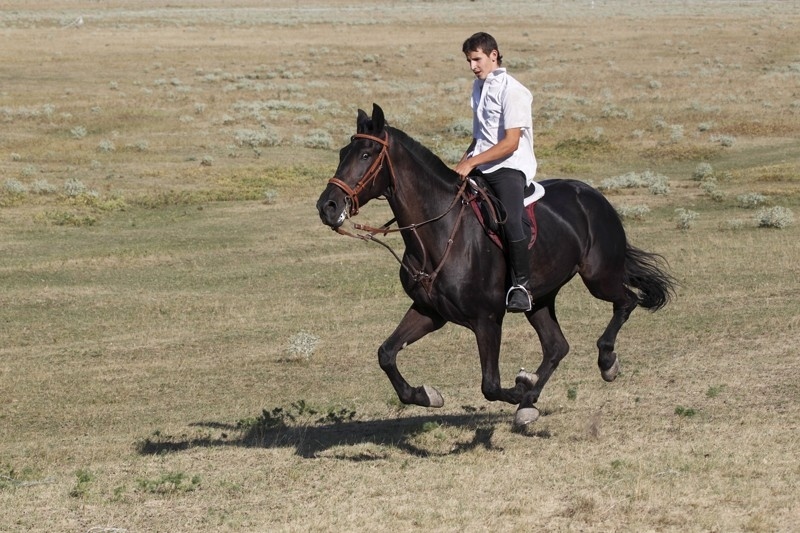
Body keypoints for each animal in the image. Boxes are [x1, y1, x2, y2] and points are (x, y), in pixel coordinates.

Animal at [316, 104, 675, 427]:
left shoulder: (486, 319)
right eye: (343, 152)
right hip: (539, 298)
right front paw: (427, 395)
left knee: (626, 301)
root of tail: (593, 196)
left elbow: (490, 385)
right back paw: (529, 405)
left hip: (599, 277)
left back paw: (605, 362)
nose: (327, 206)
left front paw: (520, 387)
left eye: (366, 155)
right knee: (557, 346)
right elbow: (386, 354)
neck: (440, 232)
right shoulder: (429, 311)